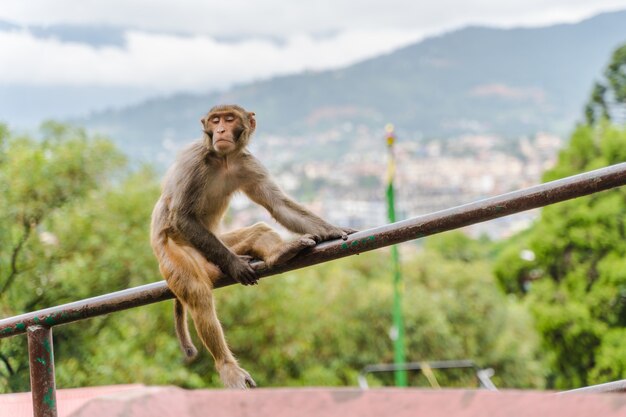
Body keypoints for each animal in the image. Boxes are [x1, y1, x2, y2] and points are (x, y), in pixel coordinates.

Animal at [150, 103, 356, 386]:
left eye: (229, 119)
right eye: (215, 121)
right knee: (196, 291)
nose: (221, 131)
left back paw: (281, 252)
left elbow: (277, 205)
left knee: (258, 231)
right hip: (176, 255)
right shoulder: (193, 162)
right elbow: (181, 216)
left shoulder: (248, 164)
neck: (223, 159)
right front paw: (236, 266)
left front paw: (332, 230)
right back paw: (227, 365)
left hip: (217, 245)